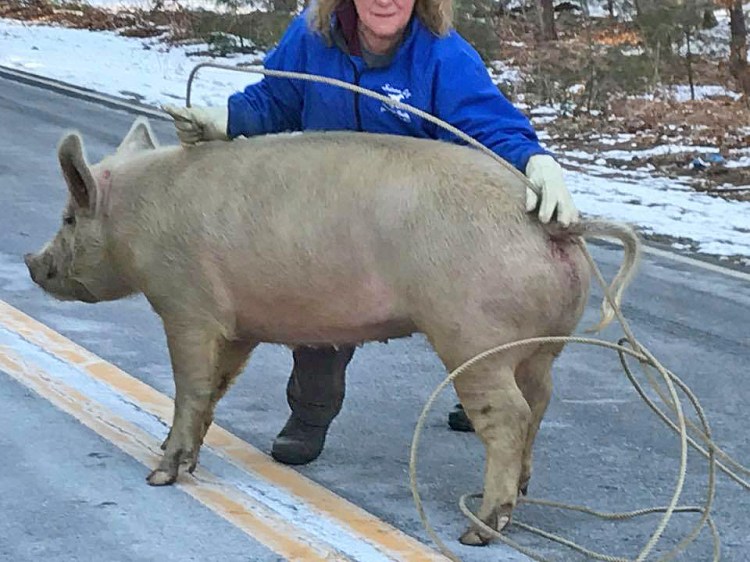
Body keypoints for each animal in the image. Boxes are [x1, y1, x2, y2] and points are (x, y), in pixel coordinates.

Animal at [25, 116, 640, 546]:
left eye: (69, 218)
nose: (32, 263)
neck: (136, 219)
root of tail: (559, 226)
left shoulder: (187, 305)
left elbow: (190, 387)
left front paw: (160, 474)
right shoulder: (239, 326)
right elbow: (216, 390)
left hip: (475, 340)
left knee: (509, 416)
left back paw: (478, 530)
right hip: (540, 348)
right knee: (540, 402)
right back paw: (522, 496)